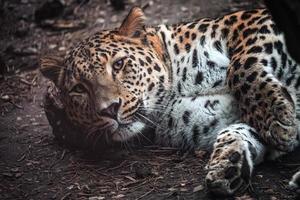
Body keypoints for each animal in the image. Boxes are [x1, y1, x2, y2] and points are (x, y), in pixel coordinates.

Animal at [39, 7, 300, 196]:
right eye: (79, 88)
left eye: (119, 64)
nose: (110, 109)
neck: (176, 88)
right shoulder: (207, 119)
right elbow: (239, 130)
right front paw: (228, 162)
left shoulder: (252, 21)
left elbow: (241, 65)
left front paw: (276, 118)